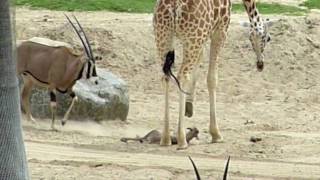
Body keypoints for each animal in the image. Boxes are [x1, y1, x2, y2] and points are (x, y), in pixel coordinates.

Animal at [152, 0, 270, 149]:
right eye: (268, 38)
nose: (260, 64)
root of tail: (173, 8)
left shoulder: (203, 37)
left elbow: (199, 61)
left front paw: (189, 107)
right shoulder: (220, 29)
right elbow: (212, 78)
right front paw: (216, 134)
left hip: (163, 36)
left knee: (166, 77)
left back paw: (166, 138)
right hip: (191, 37)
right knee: (182, 76)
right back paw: (182, 139)